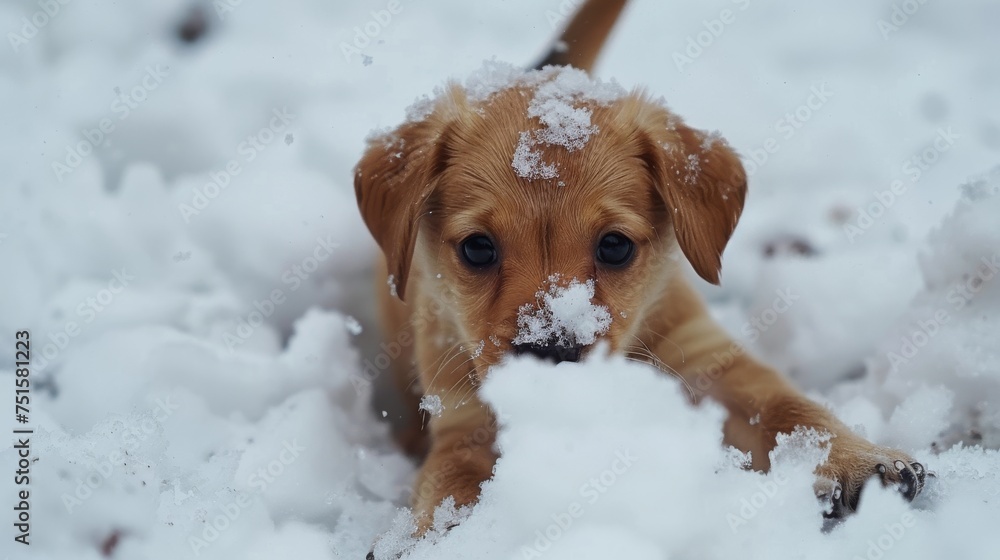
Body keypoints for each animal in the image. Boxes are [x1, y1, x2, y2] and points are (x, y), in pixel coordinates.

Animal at [356, 0, 924, 536]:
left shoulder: (707, 361)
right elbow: (450, 486)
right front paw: (441, 537)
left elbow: (791, 410)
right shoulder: (463, 419)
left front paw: (862, 461)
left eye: (614, 246)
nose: (551, 353)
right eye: (477, 249)